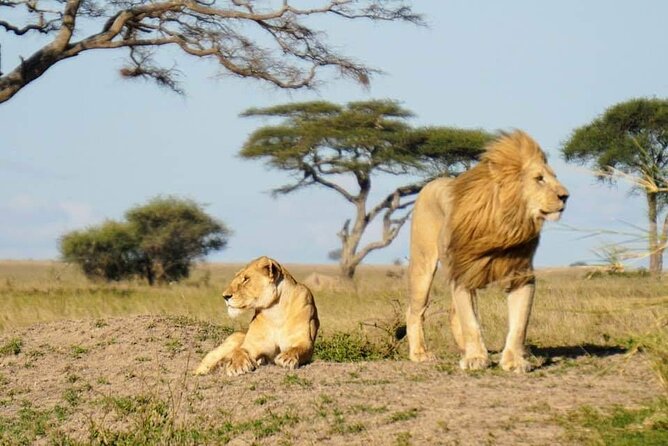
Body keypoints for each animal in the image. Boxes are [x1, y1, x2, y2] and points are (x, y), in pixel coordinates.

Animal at [406, 130, 569, 372]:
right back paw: (420, 354)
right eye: (539, 179)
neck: (506, 224)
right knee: (415, 309)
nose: (565, 196)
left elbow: (519, 324)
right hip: (423, 264)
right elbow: (470, 322)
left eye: (554, 177)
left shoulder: (521, 275)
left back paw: (463, 348)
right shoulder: (463, 273)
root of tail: (432, 182)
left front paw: (514, 361)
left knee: (453, 313)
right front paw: (476, 359)